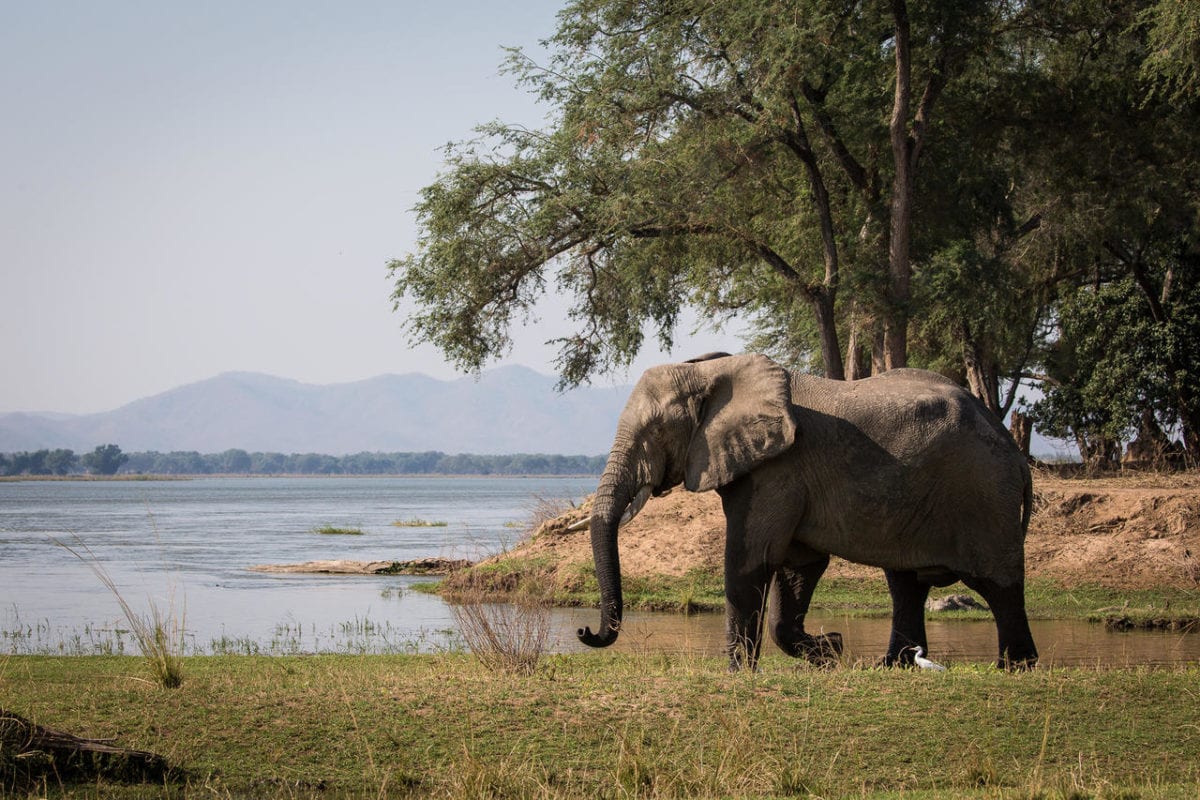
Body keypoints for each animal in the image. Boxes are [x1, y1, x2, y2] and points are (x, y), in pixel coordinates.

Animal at [576, 352, 1036, 671]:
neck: (714, 371)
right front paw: (829, 649)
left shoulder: (778, 469)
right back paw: (892, 666)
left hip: (983, 493)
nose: (583, 630)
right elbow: (799, 566)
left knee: (998, 584)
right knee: (906, 584)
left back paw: (1014, 668)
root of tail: (1013, 449)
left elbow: (750, 562)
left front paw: (738, 673)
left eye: (655, 431)